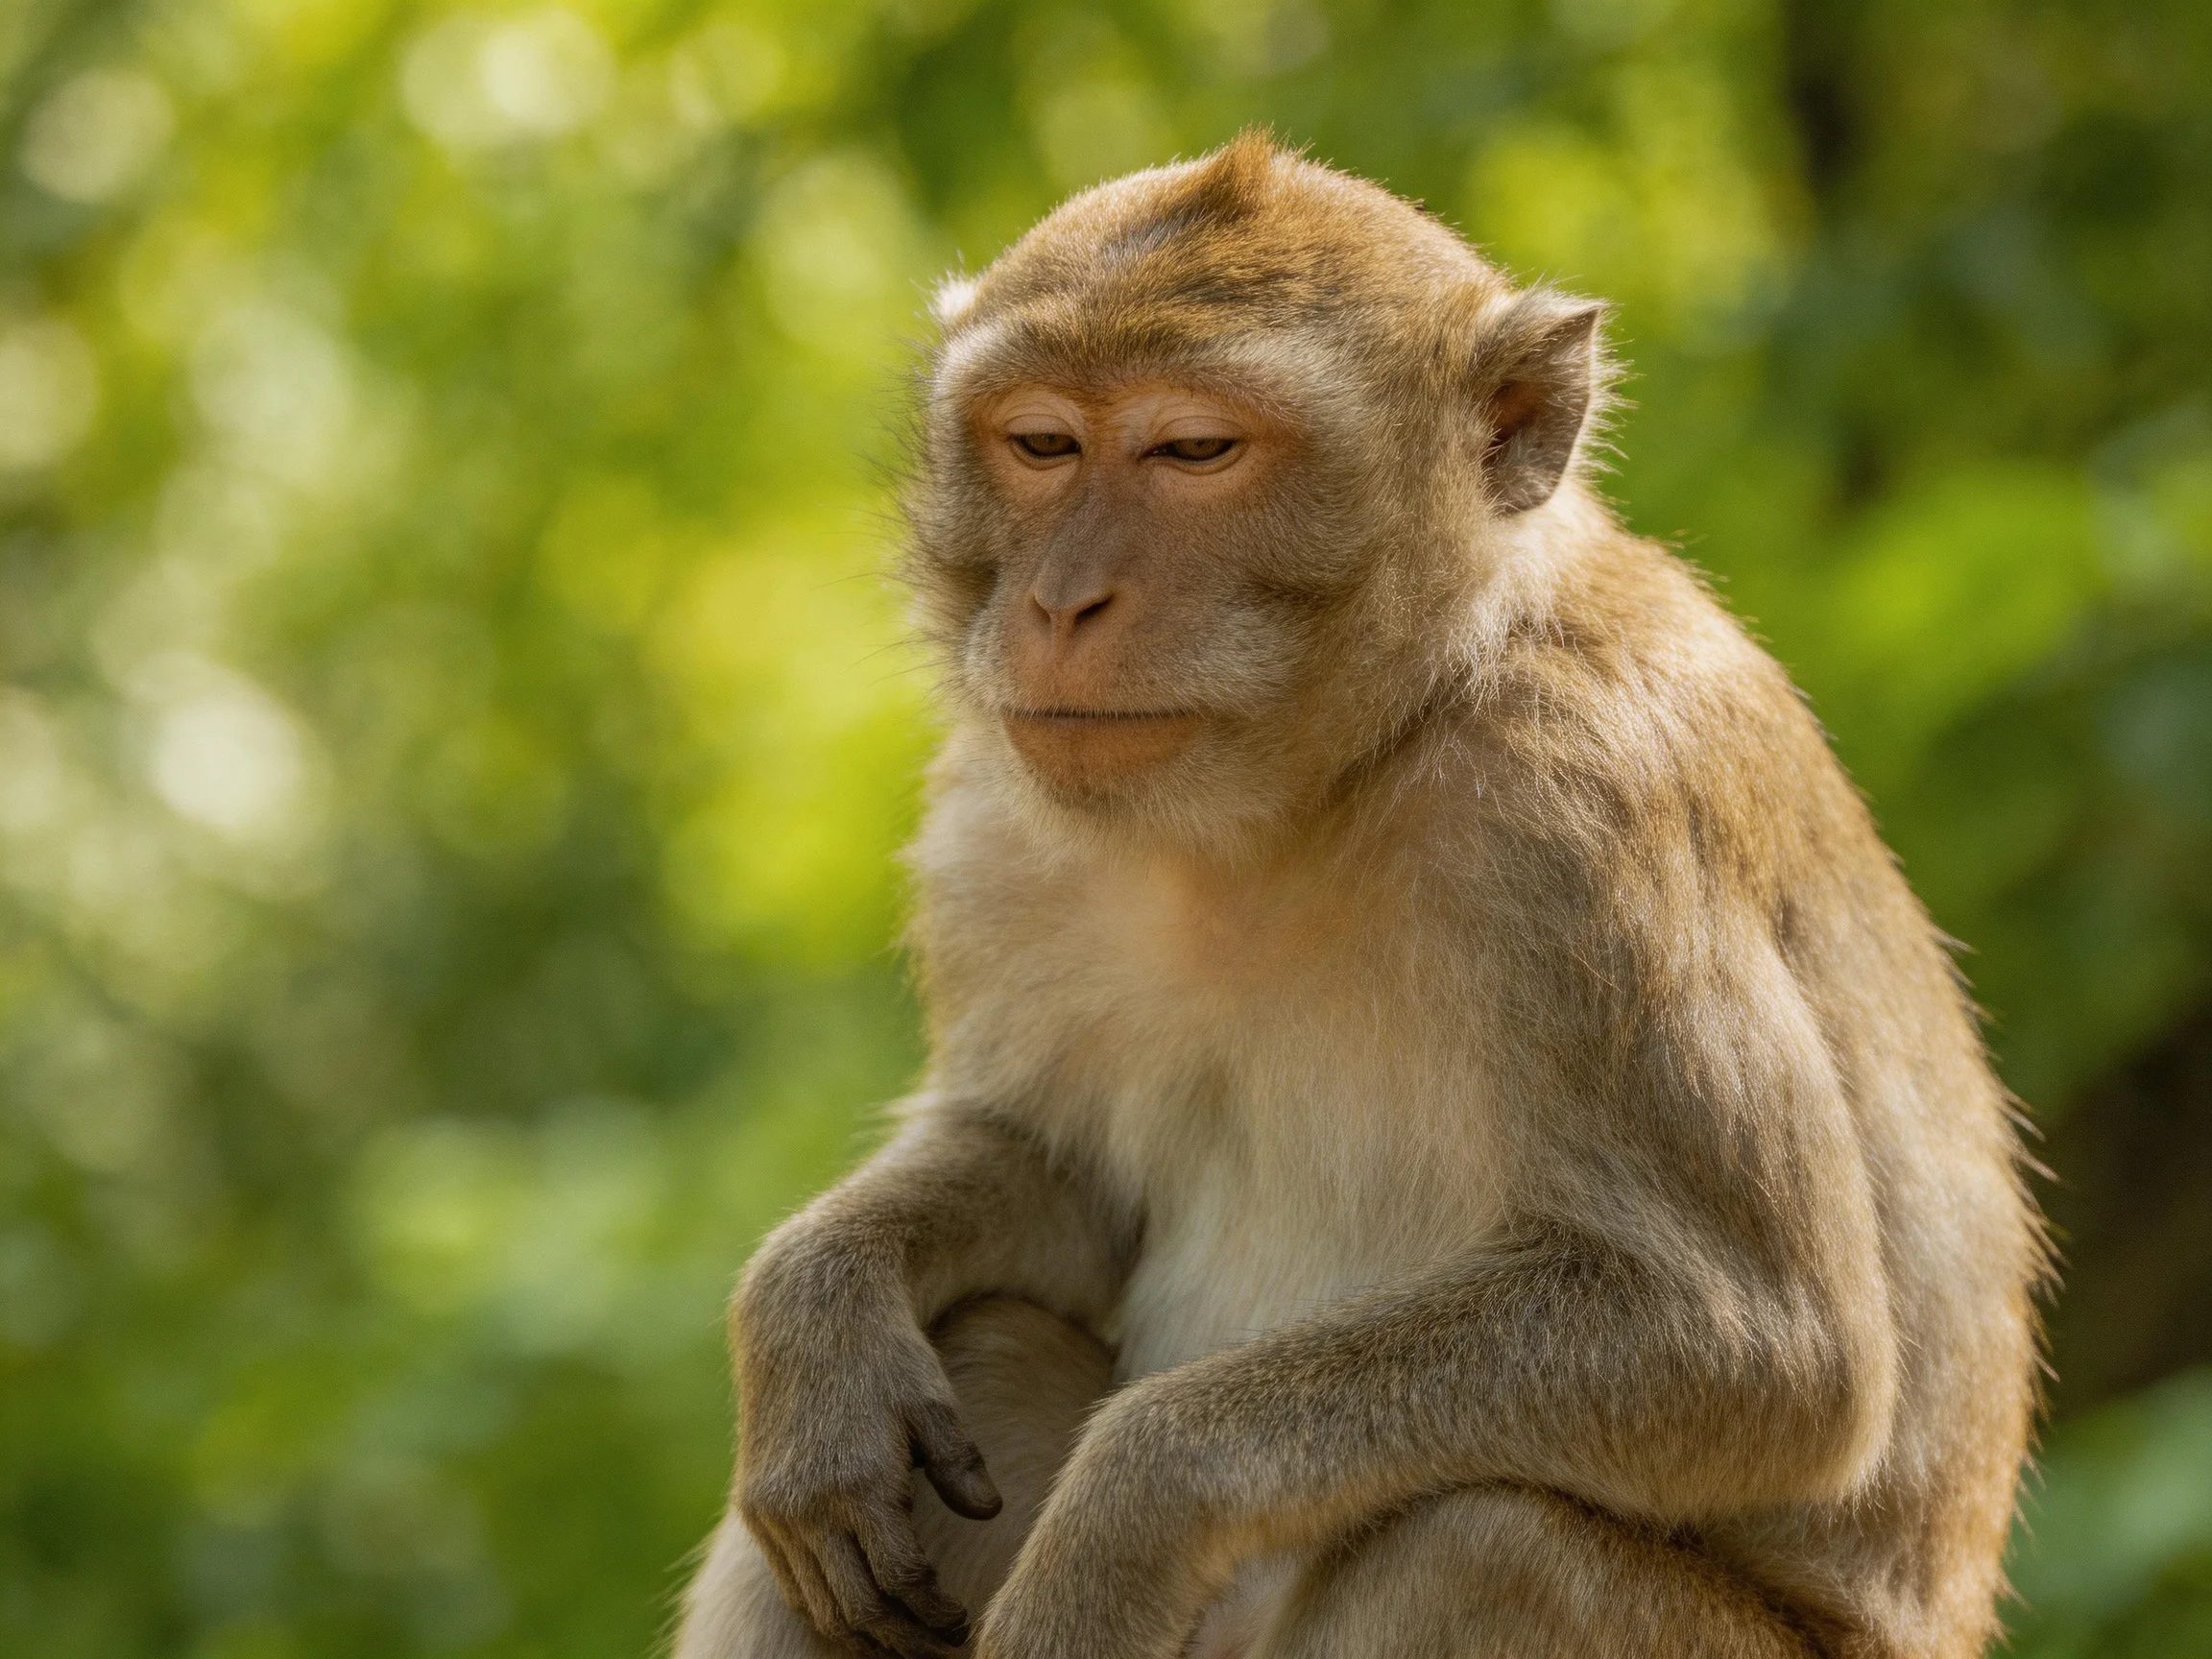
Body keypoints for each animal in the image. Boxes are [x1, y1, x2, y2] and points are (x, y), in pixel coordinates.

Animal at [674, 134, 2045, 1659]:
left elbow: (1758, 1344)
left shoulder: (1585, 815)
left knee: (1477, 1543)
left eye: (1194, 450)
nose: (1059, 601)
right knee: (978, 1345)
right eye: (1040, 444)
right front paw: (816, 1301)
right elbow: (1063, 1182)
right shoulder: (992, 826)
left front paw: (1125, 1514)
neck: (1307, 795)